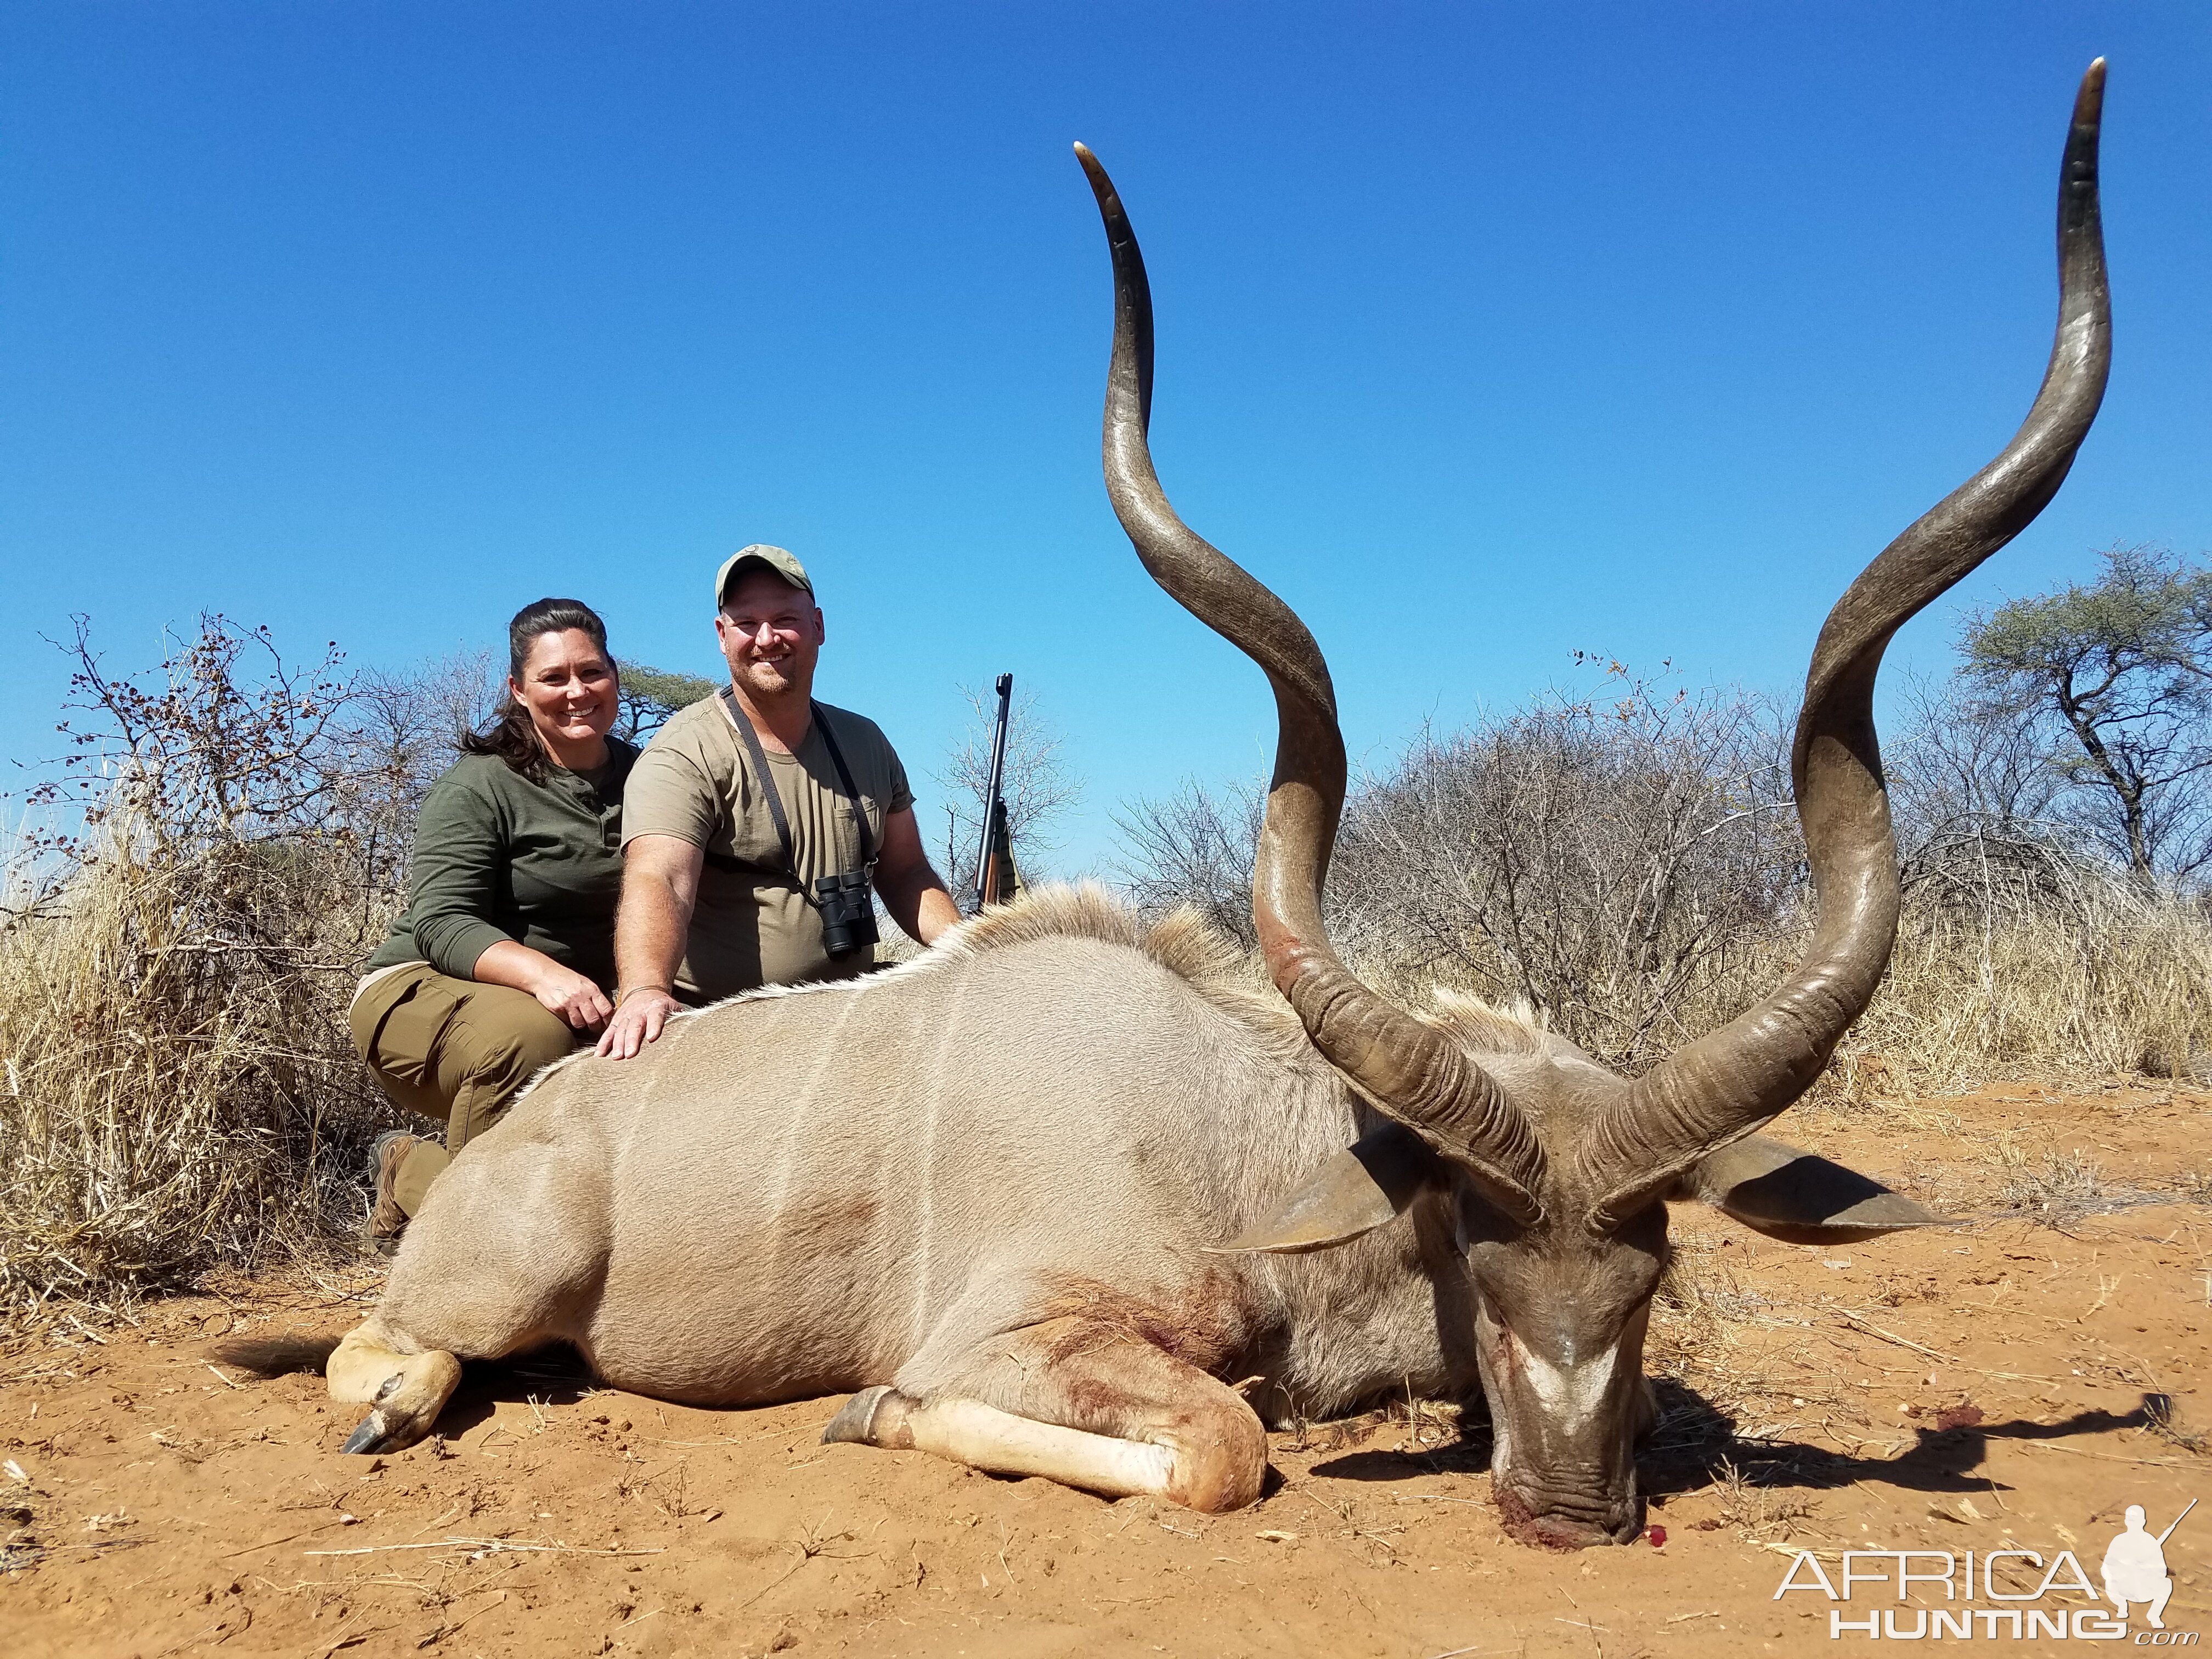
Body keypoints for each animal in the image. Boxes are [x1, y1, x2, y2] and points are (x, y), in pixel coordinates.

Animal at [323, 65, 2106, 1548]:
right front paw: (873, 1416)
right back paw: (397, 1405)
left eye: (1654, 1265)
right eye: (1476, 1240)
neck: (1229, 1137)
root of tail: (536, 1130)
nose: (1567, 1515)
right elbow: (1216, 1448)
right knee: (376, 1350)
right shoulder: (1020, 1328)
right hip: (499, 1285)